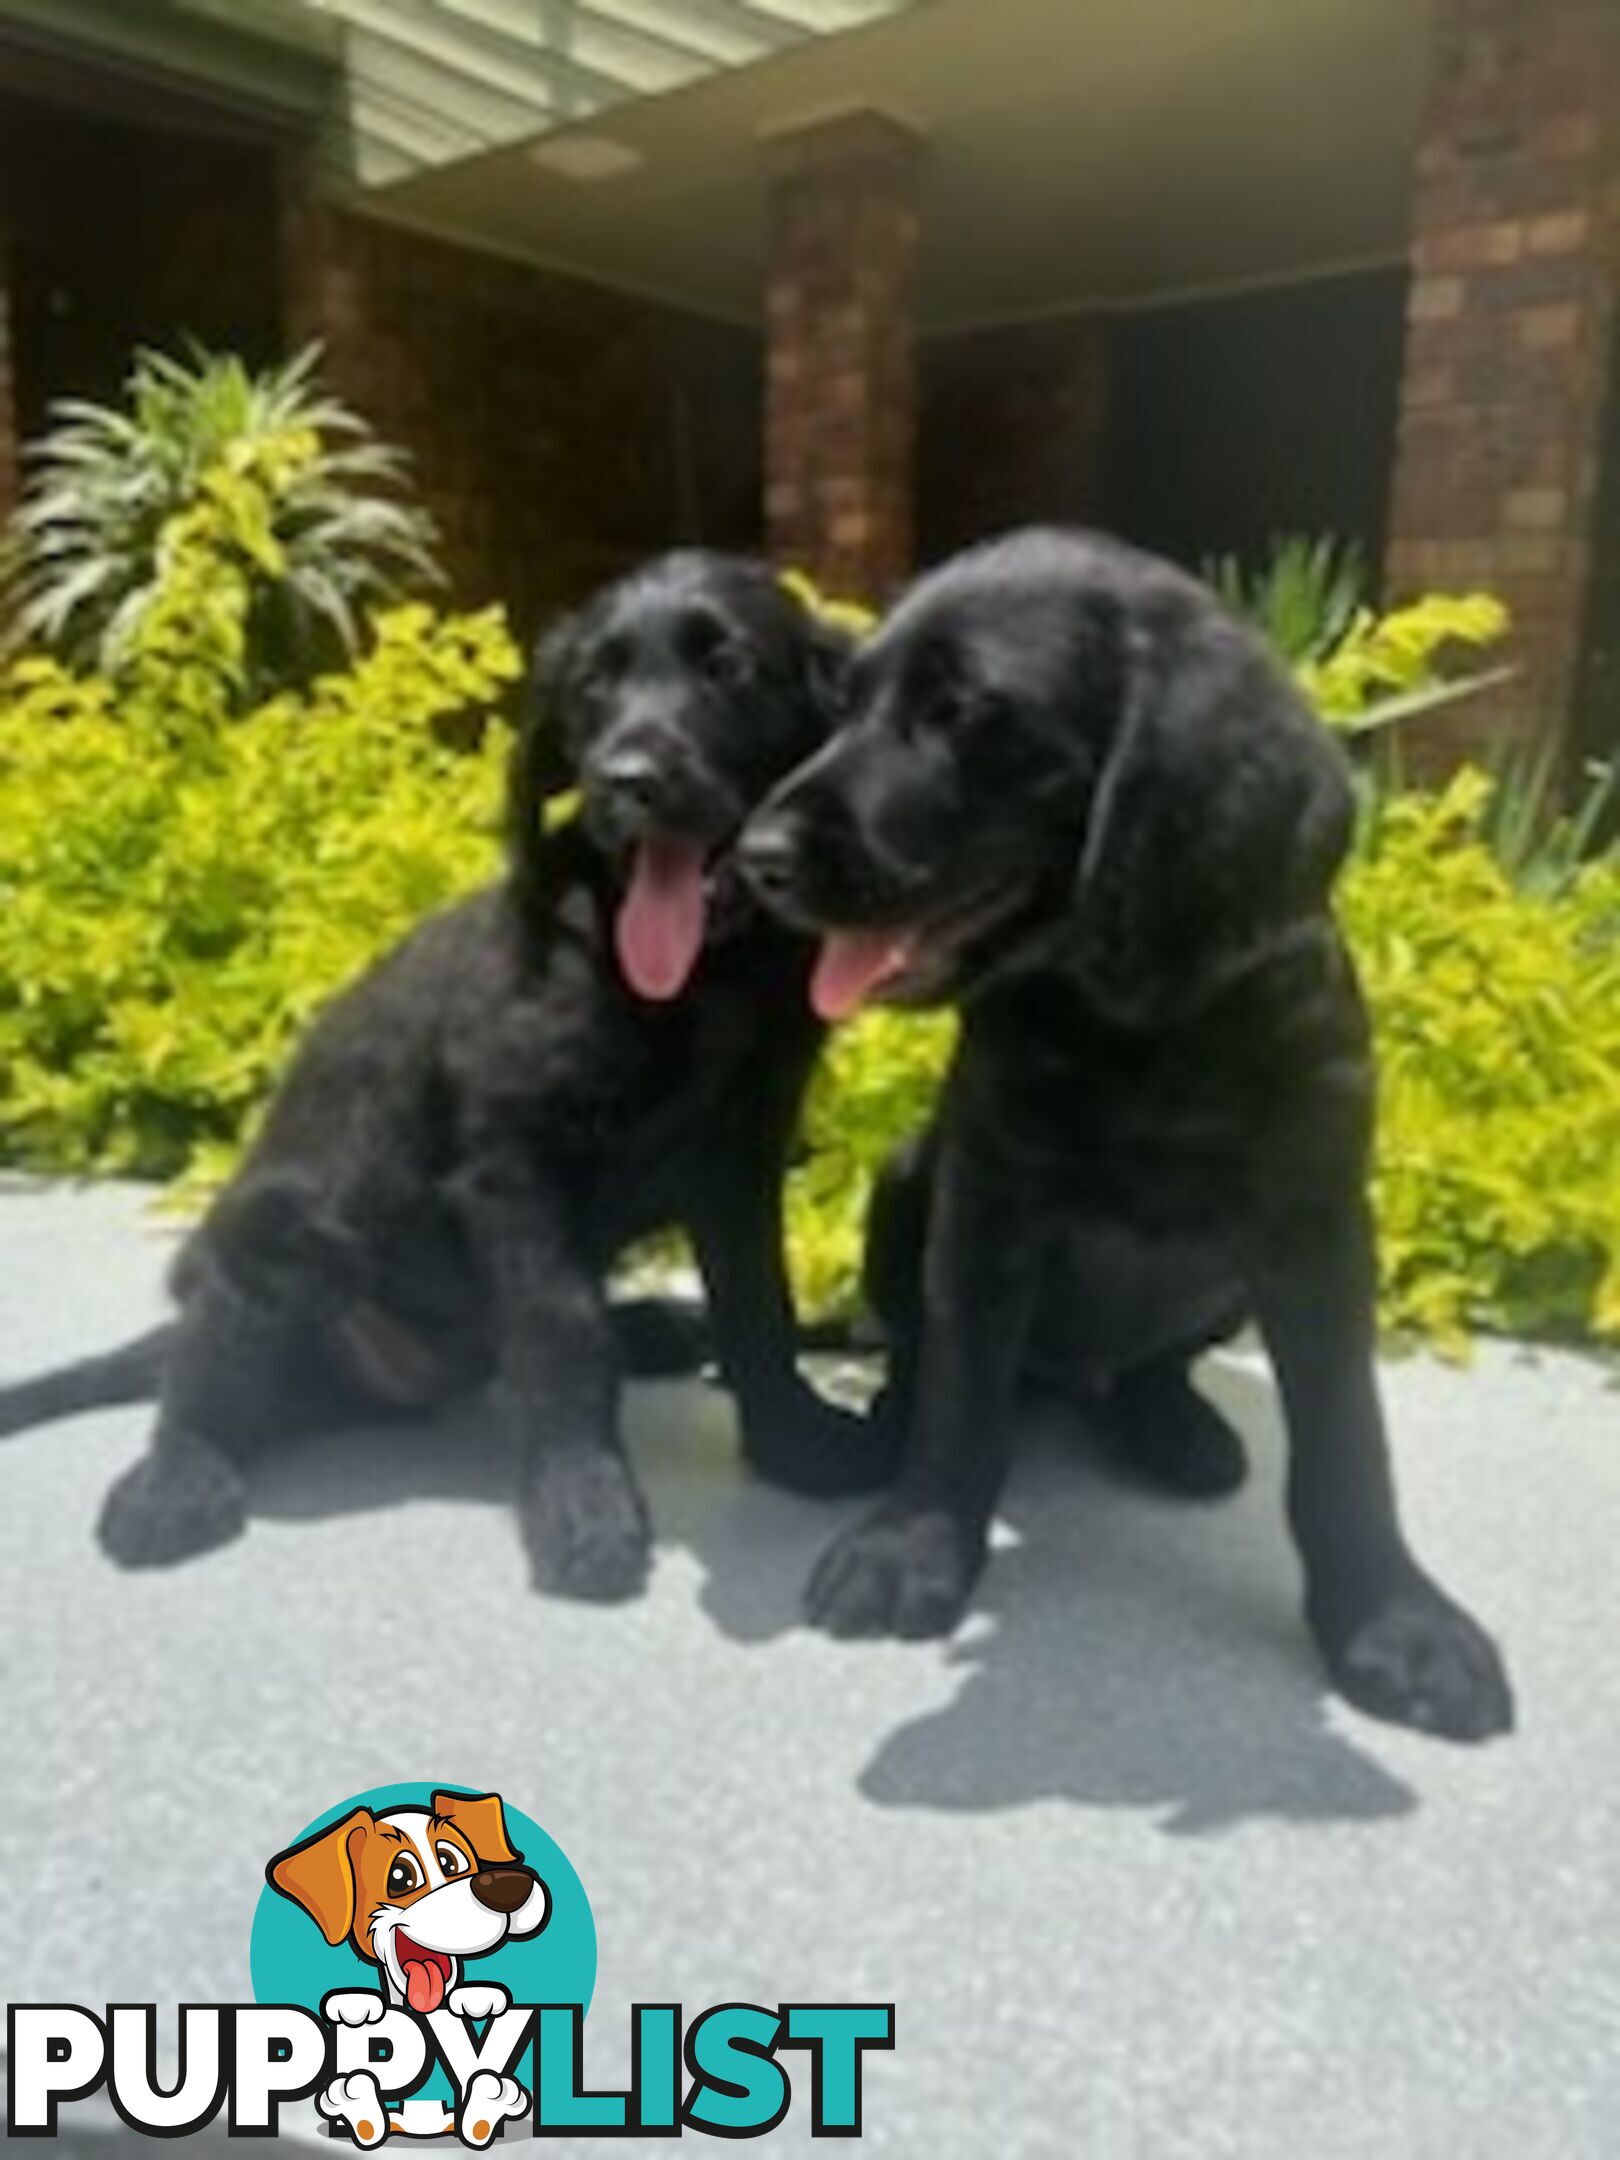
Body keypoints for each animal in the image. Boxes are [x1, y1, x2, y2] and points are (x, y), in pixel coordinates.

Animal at [3, 548, 889, 1598]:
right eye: (592, 688)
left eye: (729, 668)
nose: (624, 781)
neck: (693, 978)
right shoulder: (513, 1167)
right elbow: (562, 1334)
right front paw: (584, 1507)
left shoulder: (740, 1159)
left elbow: (760, 1309)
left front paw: (796, 1444)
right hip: (273, 1239)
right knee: (202, 1388)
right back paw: (169, 1487)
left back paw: (654, 1325)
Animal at [743, 531, 1520, 1745]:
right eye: (848, 702)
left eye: (962, 711)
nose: (754, 856)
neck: (1141, 1018)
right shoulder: (988, 1197)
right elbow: (963, 1389)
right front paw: (914, 1542)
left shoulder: (1318, 1228)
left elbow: (1348, 1445)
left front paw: (1394, 1620)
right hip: (907, 1184)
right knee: (929, 1349)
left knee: (1151, 1366)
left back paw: (1177, 1427)